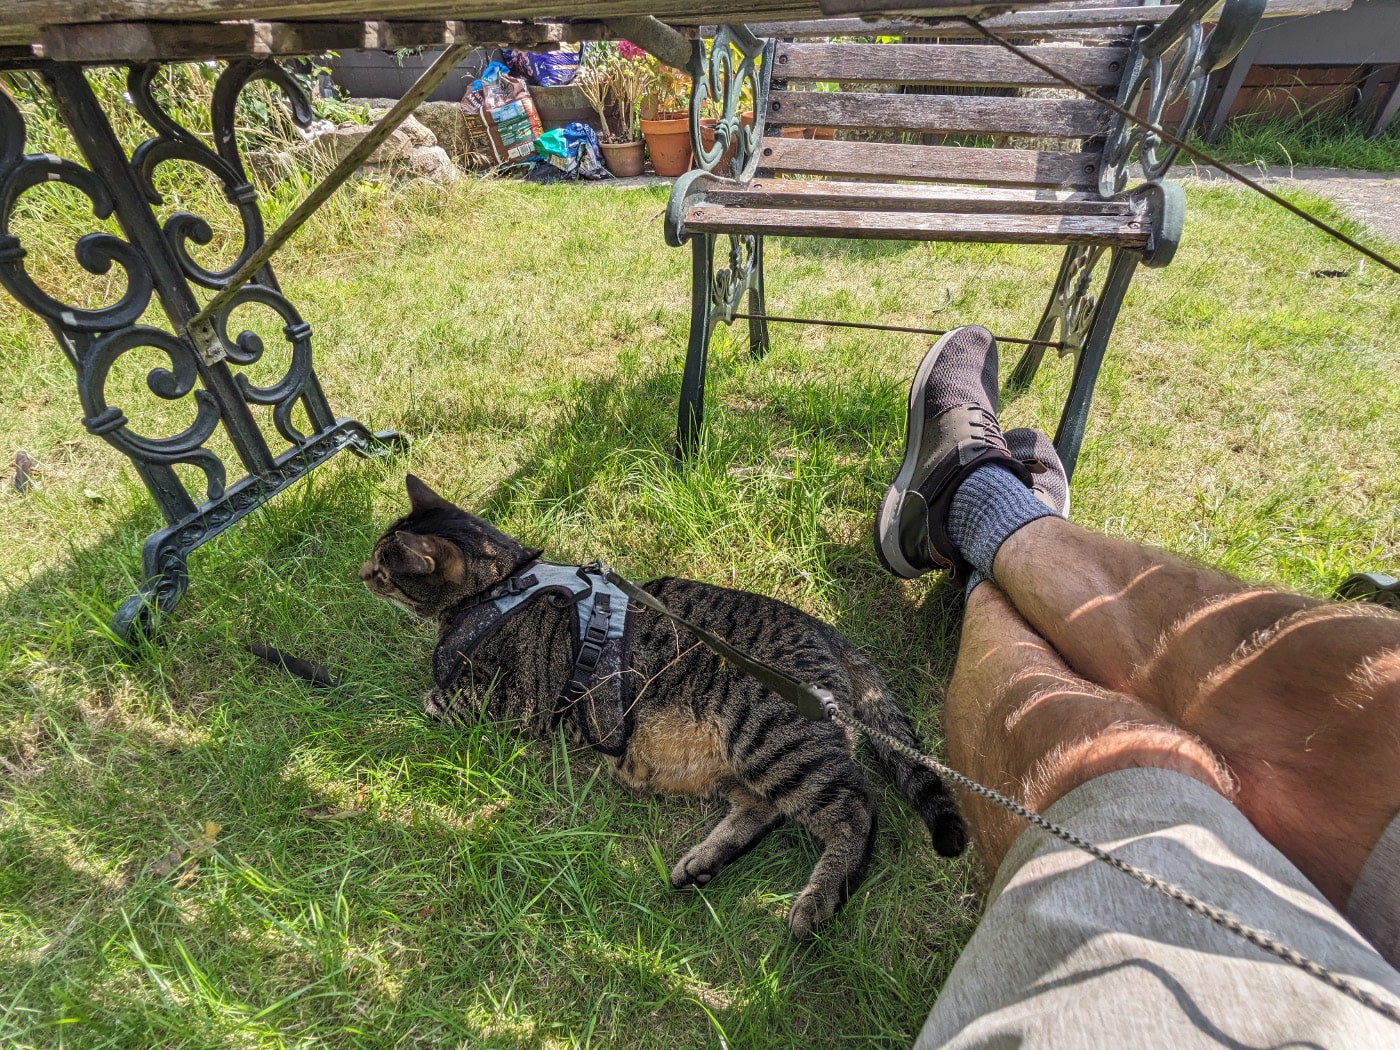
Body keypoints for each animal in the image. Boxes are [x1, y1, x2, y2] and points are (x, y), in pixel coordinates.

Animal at [364, 476, 963, 935]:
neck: (503, 584)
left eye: (383, 567)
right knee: (765, 808)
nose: (361, 574)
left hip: (772, 738)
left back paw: (818, 901)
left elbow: (437, 699)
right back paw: (702, 864)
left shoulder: (512, 699)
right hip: (736, 758)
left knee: (856, 809)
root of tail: (828, 631)